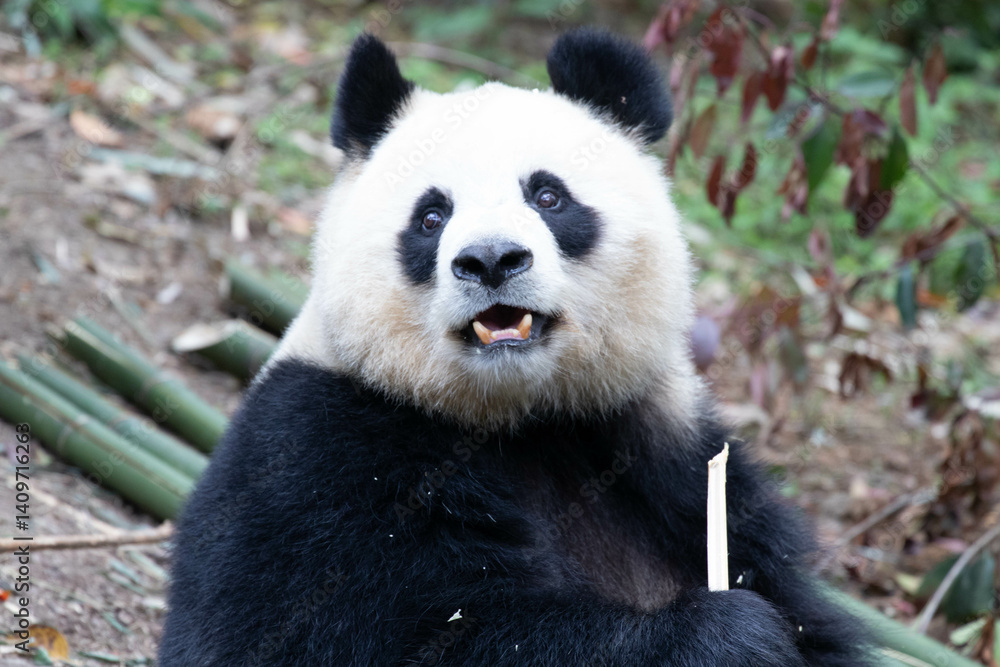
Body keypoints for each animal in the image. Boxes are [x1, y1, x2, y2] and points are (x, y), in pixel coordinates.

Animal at [160, 29, 869, 666]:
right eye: (431, 216)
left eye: (548, 195)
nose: (492, 259)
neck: (524, 417)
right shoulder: (320, 458)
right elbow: (385, 634)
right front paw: (730, 635)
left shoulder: (665, 448)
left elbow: (802, 611)